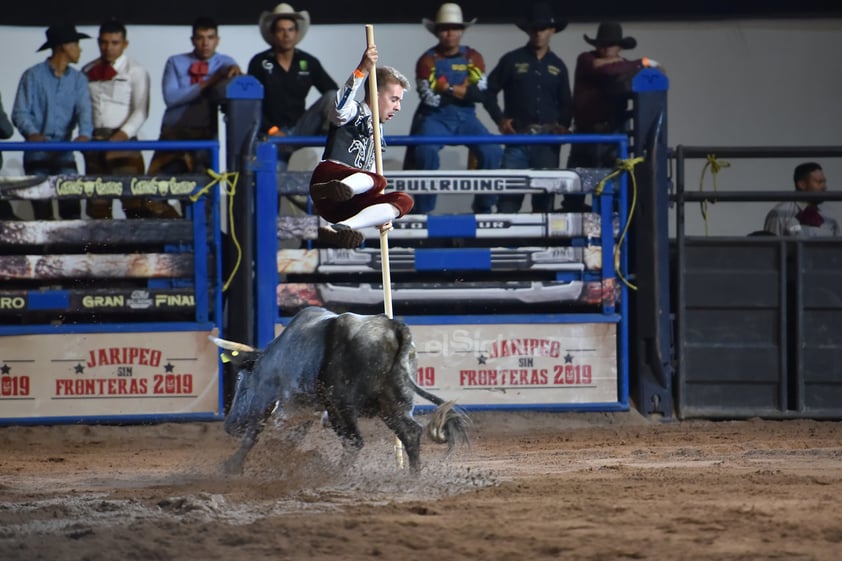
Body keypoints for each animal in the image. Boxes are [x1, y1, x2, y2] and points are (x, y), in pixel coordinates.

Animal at [210, 306, 470, 472]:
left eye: (240, 381)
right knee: (410, 433)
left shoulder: (266, 397)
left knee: (355, 441)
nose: (229, 425)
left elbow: (253, 434)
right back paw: (413, 477)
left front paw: (232, 466)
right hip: (392, 404)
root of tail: (394, 328)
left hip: (341, 406)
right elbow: (292, 437)